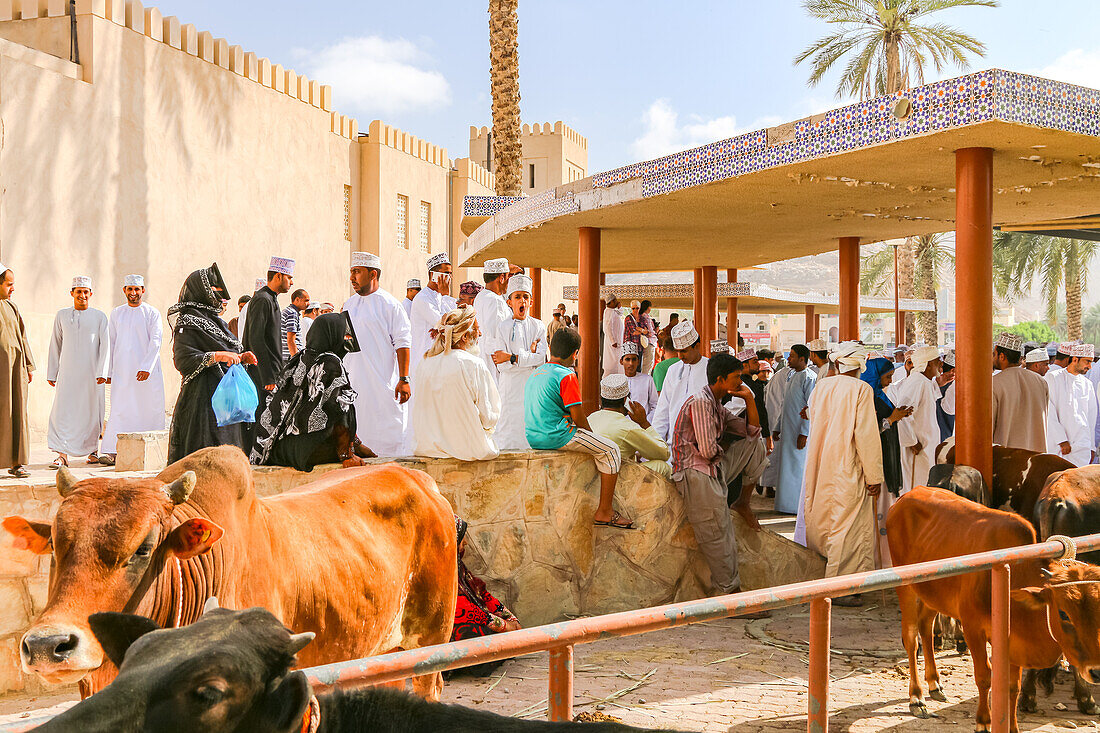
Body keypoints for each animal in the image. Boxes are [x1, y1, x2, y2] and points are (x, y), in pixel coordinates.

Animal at [888, 484, 1100, 730]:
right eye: (1064, 614)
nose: (1096, 670)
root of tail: (907, 496)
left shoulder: (1014, 641)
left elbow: (1012, 686)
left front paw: (1012, 727)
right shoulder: (973, 629)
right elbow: (984, 677)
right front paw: (983, 722)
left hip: (934, 593)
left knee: (926, 628)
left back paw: (934, 684)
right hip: (906, 588)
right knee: (912, 639)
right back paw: (917, 697)